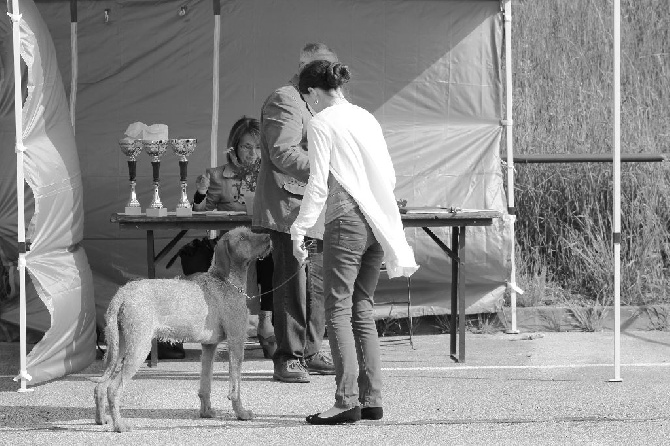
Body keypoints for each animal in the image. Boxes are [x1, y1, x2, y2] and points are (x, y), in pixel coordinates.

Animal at [90, 226, 272, 432]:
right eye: (242, 238)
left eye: (250, 231)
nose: (269, 236)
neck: (226, 282)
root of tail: (122, 293)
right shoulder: (236, 341)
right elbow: (235, 387)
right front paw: (241, 413)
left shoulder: (209, 347)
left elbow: (205, 384)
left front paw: (206, 412)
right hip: (138, 347)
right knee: (113, 388)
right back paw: (120, 425)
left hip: (119, 347)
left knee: (100, 386)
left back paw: (101, 419)